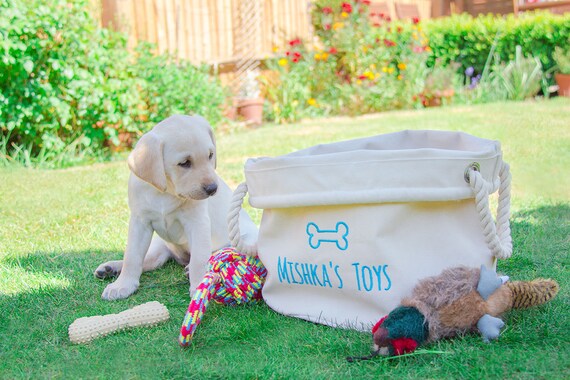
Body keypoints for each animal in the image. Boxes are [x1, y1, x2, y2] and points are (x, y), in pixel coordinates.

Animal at [95, 114, 258, 298]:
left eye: (210, 155)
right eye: (185, 163)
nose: (212, 189)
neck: (166, 192)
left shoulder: (197, 223)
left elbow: (199, 259)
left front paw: (199, 286)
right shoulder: (139, 222)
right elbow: (132, 256)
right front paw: (123, 284)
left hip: (245, 240)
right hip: (160, 245)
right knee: (148, 261)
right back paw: (110, 268)